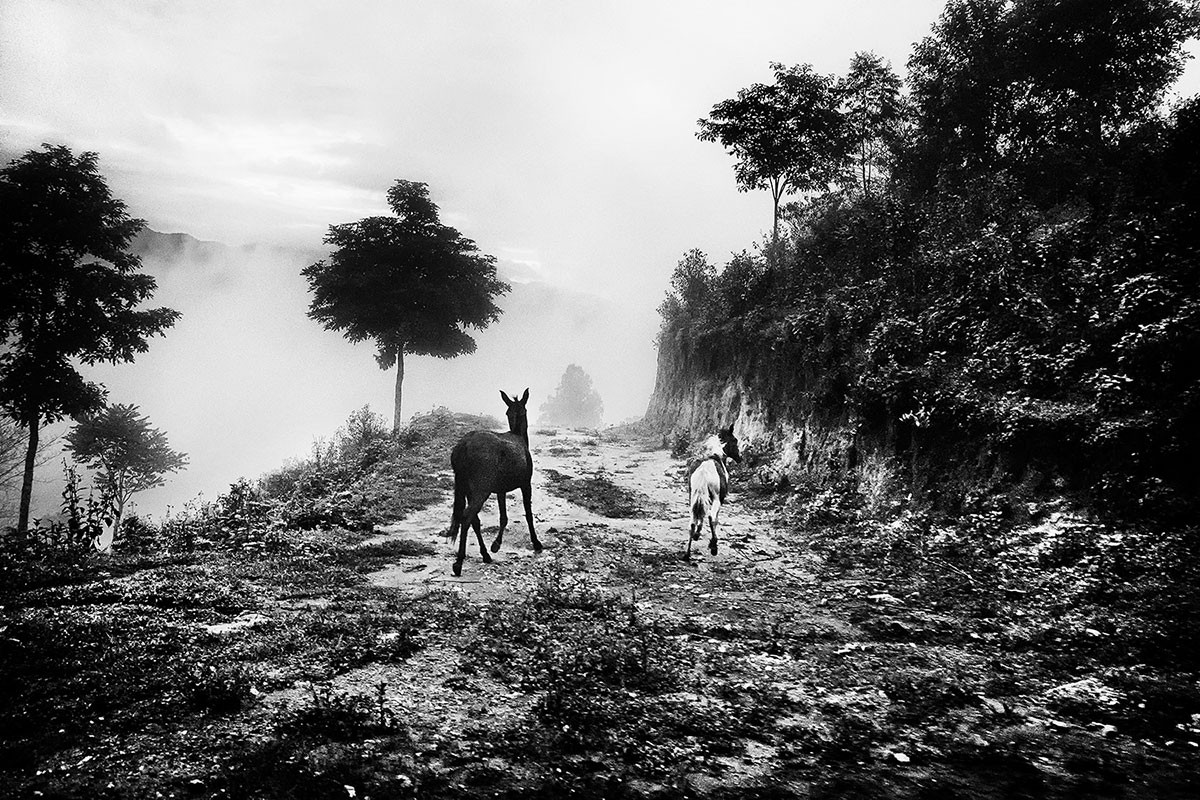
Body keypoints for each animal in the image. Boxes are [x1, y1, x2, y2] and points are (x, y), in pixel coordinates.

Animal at [451, 388, 544, 575]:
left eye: (510, 411)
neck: (518, 436)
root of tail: (463, 445)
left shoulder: (501, 488)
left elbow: (503, 517)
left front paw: (495, 545)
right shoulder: (526, 483)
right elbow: (528, 514)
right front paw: (536, 543)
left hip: (467, 487)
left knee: (474, 519)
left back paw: (485, 554)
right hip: (481, 487)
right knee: (467, 516)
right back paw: (459, 562)